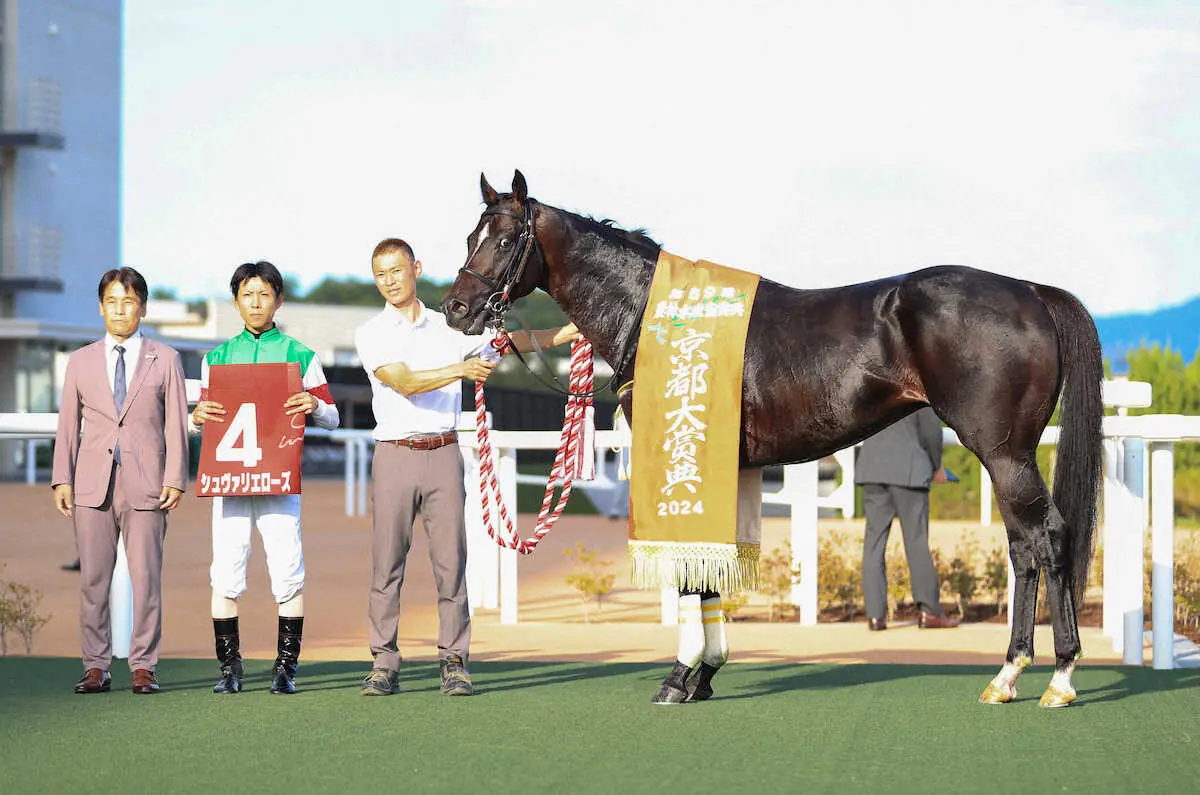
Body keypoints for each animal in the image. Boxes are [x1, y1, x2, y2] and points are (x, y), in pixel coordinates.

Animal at [439, 171, 1099, 706]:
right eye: (470, 235)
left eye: (505, 239)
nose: (456, 309)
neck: (658, 316)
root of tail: (1029, 291)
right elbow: (711, 571)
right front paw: (704, 675)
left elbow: (691, 570)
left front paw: (678, 679)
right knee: (1023, 548)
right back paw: (1009, 676)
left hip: (1005, 453)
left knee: (1048, 538)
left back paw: (1054, 677)